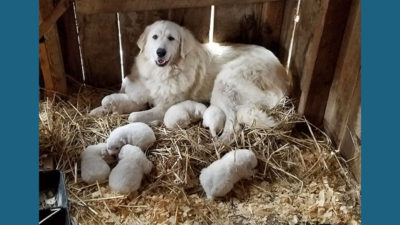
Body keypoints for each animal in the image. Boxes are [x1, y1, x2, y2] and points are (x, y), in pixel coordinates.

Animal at [90, 20, 290, 143]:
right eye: (155, 37)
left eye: (171, 39)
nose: (160, 52)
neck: (164, 72)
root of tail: (283, 73)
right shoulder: (143, 95)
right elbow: (125, 101)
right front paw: (97, 110)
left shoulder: (164, 107)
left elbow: (133, 116)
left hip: (224, 83)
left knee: (233, 125)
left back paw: (220, 143)